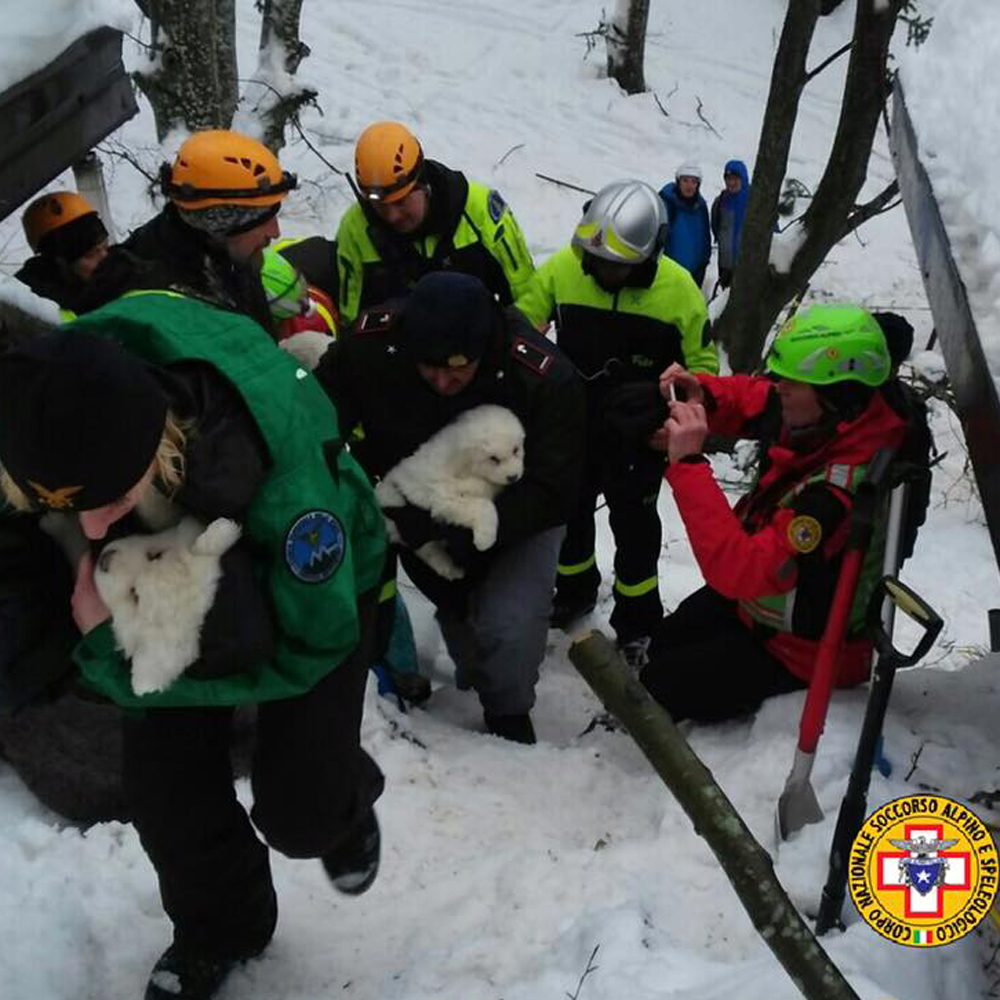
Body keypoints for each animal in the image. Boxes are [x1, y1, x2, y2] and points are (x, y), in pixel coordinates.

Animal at [376, 404, 528, 584]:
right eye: (493, 458)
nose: (513, 477)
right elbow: (484, 506)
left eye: (516, 450)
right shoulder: (444, 498)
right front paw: (485, 539)